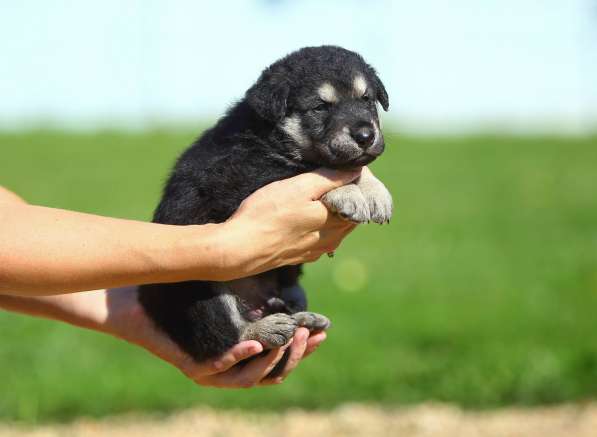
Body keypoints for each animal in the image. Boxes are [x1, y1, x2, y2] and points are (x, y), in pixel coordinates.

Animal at [137, 46, 394, 376]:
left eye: (367, 99)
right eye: (320, 107)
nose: (365, 136)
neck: (271, 135)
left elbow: (352, 167)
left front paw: (376, 193)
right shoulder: (238, 176)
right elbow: (310, 170)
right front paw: (348, 193)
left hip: (288, 287)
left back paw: (304, 320)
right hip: (198, 289)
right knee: (222, 338)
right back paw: (265, 329)